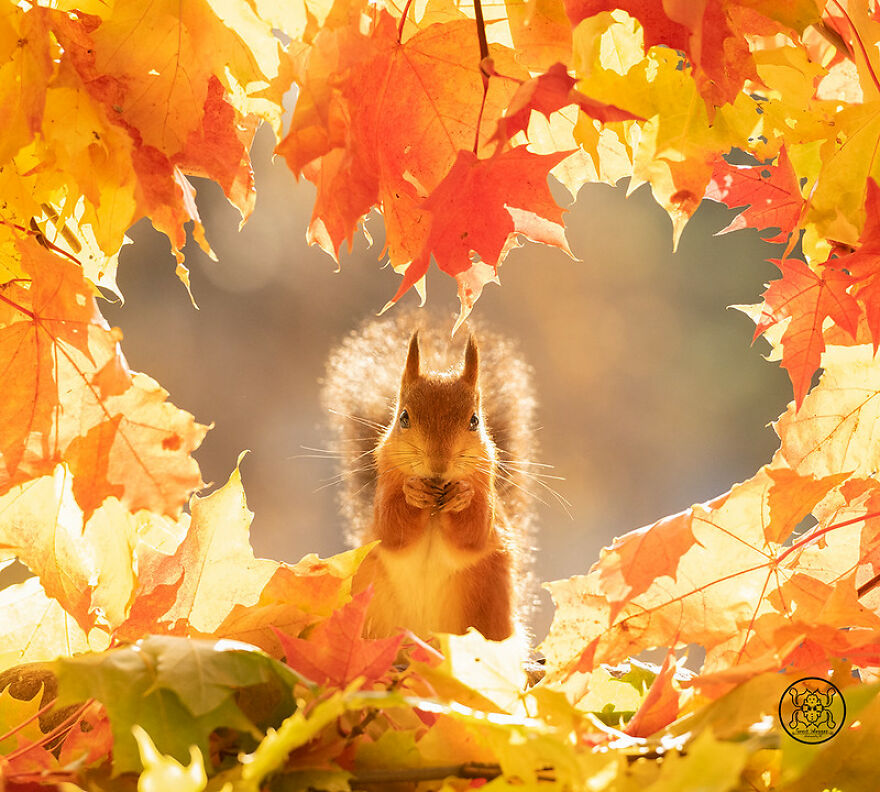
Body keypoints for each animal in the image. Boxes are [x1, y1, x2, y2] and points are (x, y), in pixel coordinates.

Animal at [321, 311, 538, 641]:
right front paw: (413, 493)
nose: (438, 464)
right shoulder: (384, 496)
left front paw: (462, 495)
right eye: (403, 418)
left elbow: (474, 532)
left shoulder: (488, 501)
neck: (436, 508)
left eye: (474, 420)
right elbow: (392, 529)